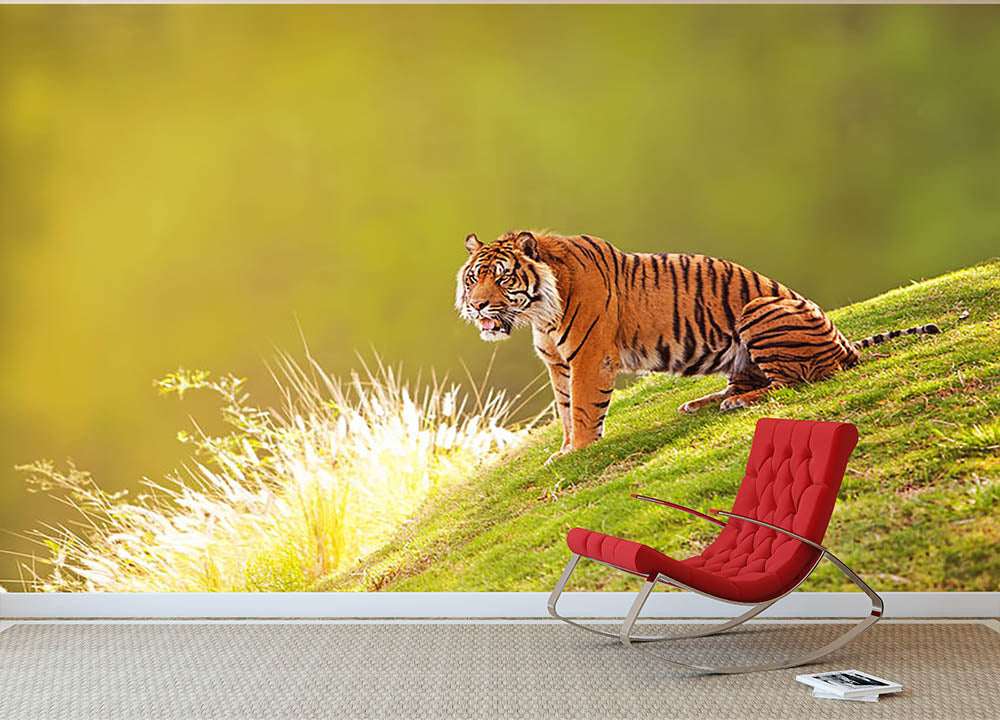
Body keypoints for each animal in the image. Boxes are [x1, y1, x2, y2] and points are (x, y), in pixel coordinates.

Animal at [456, 231, 940, 461]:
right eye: (473, 278)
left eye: (503, 278)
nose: (477, 305)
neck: (539, 312)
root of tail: (844, 343)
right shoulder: (557, 363)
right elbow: (564, 409)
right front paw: (563, 451)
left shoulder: (589, 356)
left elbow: (583, 408)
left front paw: (577, 452)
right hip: (742, 353)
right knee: (747, 381)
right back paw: (701, 403)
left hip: (760, 309)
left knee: (794, 380)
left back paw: (736, 403)